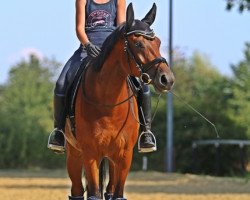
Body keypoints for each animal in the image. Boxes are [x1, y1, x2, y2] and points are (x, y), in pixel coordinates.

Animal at [65, 3, 174, 200]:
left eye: (158, 42)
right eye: (138, 44)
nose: (167, 79)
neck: (107, 103)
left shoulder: (124, 155)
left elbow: (117, 194)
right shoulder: (90, 154)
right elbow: (93, 193)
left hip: (111, 158)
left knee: (108, 191)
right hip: (75, 154)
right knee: (77, 191)